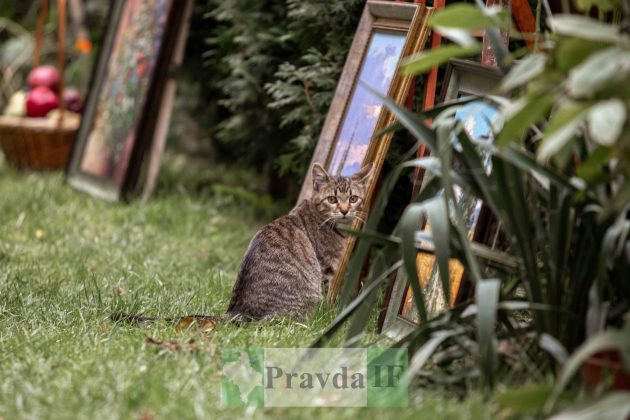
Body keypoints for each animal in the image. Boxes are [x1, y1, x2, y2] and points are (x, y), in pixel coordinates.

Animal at [110, 162, 376, 324]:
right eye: (332, 199)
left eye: (353, 198)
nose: (344, 210)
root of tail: (237, 311)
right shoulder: (325, 268)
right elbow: (327, 297)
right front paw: (328, 318)